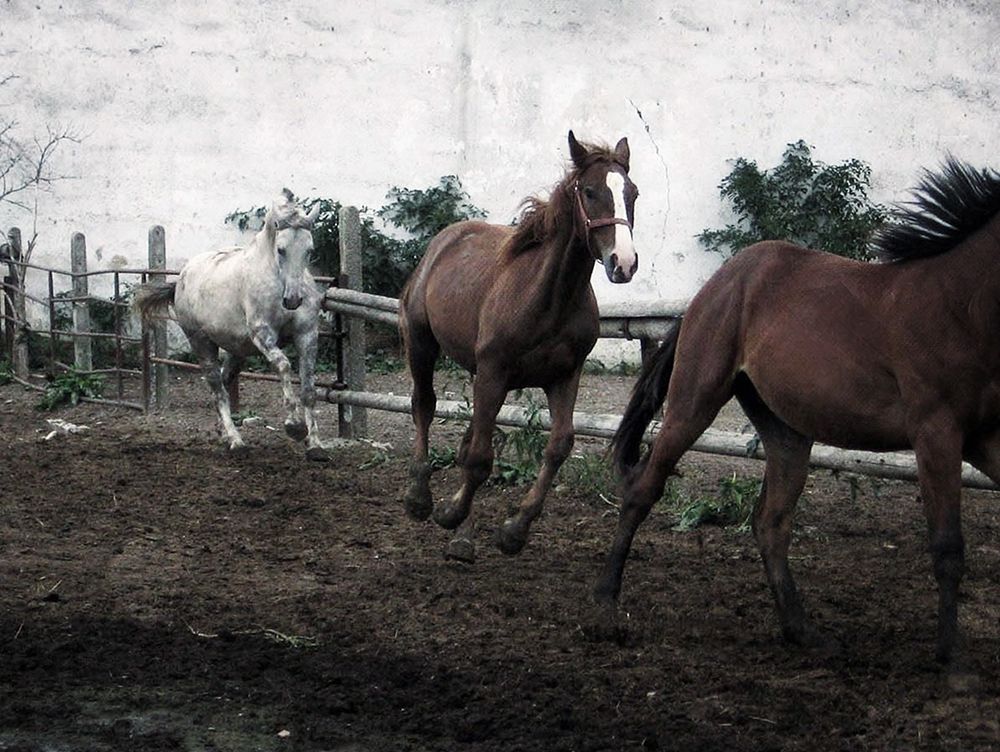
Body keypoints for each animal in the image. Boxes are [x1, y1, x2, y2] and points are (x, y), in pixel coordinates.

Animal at [136, 189, 328, 460]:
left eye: (309, 250)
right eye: (281, 250)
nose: (293, 300)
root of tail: (181, 278)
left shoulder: (307, 335)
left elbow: (309, 388)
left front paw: (316, 445)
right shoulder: (262, 333)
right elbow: (283, 365)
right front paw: (294, 426)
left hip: (237, 351)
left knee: (225, 384)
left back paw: (223, 433)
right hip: (201, 342)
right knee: (217, 388)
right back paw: (236, 440)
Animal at [400, 130, 639, 562]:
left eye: (633, 193)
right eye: (590, 191)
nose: (623, 263)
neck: (549, 298)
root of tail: (442, 243)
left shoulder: (564, 375)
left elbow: (558, 446)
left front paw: (513, 530)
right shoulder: (494, 370)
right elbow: (480, 459)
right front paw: (449, 513)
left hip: (482, 373)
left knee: (469, 438)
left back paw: (462, 536)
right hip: (424, 344)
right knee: (424, 406)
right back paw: (420, 499)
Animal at [593, 158, 1000, 665]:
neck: (961, 306)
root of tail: (714, 287)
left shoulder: (984, 436)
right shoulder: (936, 432)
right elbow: (947, 546)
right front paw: (950, 658)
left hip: (786, 431)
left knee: (770, 522)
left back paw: (801, 630)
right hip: (694, 402)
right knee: (642, 490)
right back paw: (606, 611)